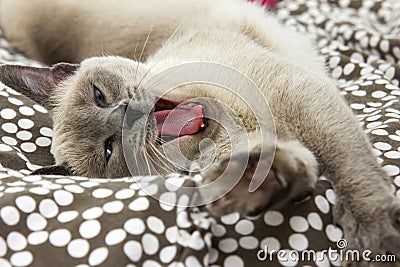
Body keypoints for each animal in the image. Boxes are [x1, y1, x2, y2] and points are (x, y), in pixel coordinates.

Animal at [0, 0, 398, 262]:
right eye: (110, 149)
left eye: (99, 96)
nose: (125, 114)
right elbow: (276, 168)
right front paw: (255, 185)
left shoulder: (303, 99)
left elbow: (351, 169)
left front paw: (374, 237)